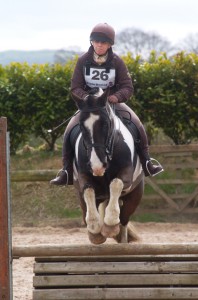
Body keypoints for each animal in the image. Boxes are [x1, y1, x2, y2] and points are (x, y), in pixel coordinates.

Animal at [71, 87, 144, 244]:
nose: (97, 166)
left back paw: (121, 236)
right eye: (81, 126)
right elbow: (88, 190)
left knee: (124, 219)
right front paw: (94, 229)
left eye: (105, 124)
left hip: (134, 196)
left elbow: (116, 183)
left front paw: (109, 224)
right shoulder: (83, 176)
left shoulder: (126, 174)